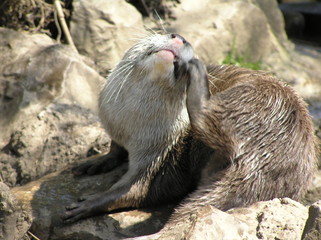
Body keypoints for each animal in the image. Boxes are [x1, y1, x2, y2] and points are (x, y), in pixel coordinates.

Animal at [62, 32, 316, 229]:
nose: (181, 37)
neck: (132, 125)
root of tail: (264, 155)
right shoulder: (115, 125)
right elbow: (115, 148)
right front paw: (95, 162)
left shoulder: (158, 154)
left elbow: (137, 190)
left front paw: (88, 203)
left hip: (252, 100)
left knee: (207, 117)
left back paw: (197, 70)